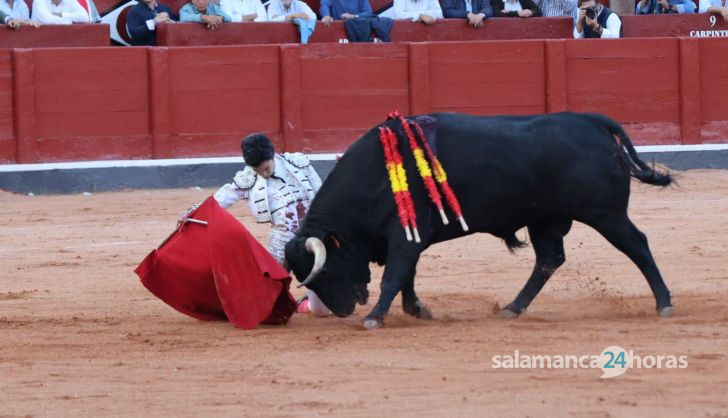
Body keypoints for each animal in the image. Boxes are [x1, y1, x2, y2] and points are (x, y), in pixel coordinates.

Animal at [282, 112, 672, 330]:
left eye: (325, 271)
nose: (341, 310)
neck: (374, 172)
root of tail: (592, 123)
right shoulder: (410, 234)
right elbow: (408, 274)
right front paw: (416, 309)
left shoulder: (405, 235)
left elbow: (395, 274)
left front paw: (375, 317)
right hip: (545, 219)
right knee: (549, 260)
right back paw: (513, 308)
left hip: (606, 214)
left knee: (637, 245)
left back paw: (664, 303)